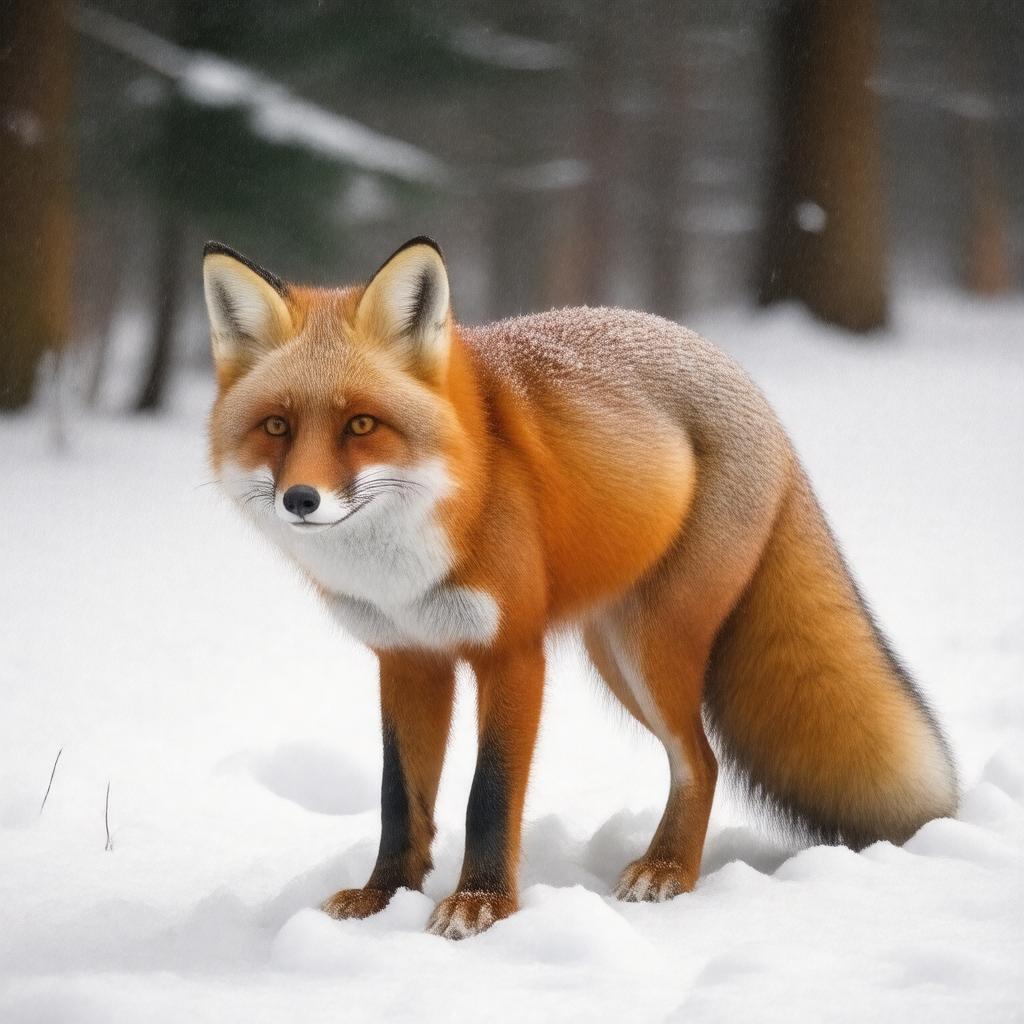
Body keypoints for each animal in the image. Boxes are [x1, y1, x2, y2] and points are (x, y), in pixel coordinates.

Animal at [203, 236, 958, 940]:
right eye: (277, 426)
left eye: (361, 424)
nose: (301, 500)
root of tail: (743, 381)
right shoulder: (409, 659)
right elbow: (400, 799)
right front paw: (383, 898)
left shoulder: (512, 653)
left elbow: (489, 795)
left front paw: (481, 905)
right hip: (615, 657)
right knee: (701, 760)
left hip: (652, 651)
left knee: (702, 760)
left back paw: (668, 870)